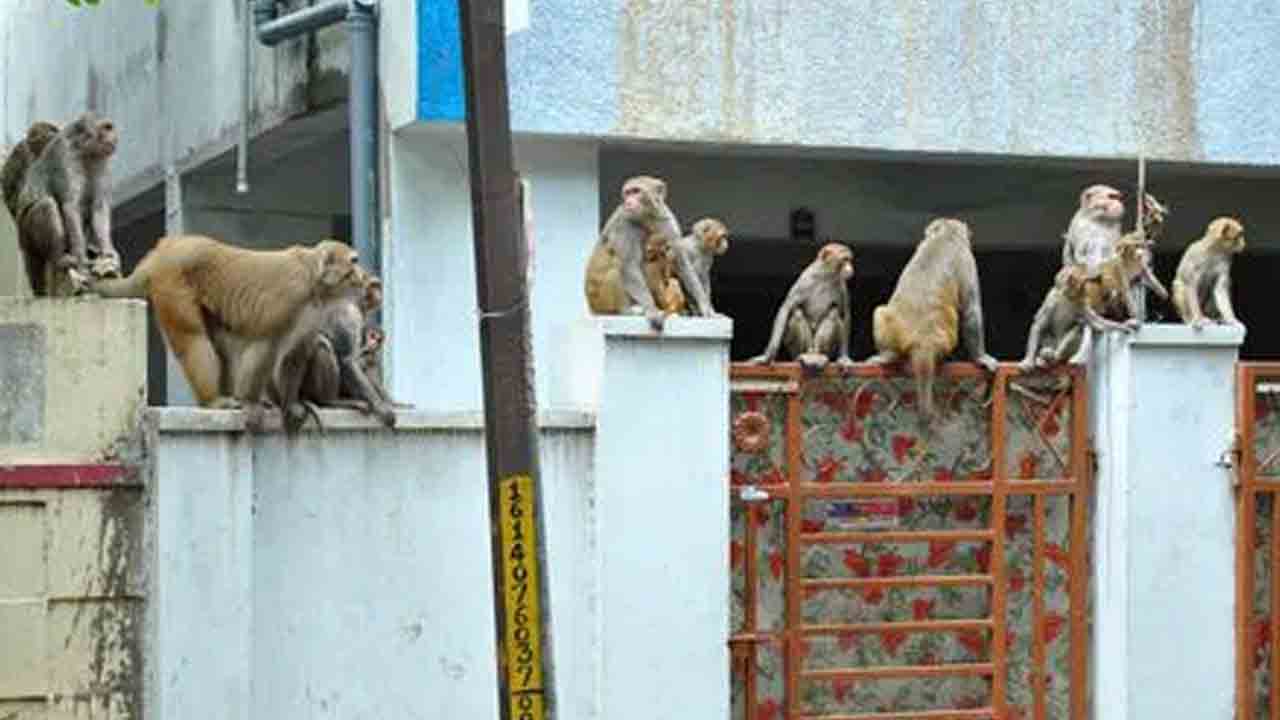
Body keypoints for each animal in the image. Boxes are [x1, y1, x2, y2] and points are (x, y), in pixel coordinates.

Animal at [12, 112, 121, 296]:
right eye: (107, 128)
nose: (115, 138)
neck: (84, 150)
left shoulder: (101, 160)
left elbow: (98, 207)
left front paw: (108, 254)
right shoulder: (65, 156)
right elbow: (70, 206)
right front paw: (81, 260)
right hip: (27, 236)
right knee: (47, 205)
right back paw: (60, 258)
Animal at [88, 235, 362, 430]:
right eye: (354, 262)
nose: (362, 276)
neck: (313, 279)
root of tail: (160, 253)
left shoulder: (312, 312)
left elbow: (296, 353)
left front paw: (290, 404)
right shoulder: (291, 298)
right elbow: (265, 344)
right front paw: (251, 402)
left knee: (220, 344)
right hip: (171, 282)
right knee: (194, 339)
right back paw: (213, 401)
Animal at [584, 175, 682, 329]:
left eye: (636, 191)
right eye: (627, 193)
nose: (628, 202)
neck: (646, 217)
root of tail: (592, 308)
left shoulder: (666, 218)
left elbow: (679, 260)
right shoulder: (624, 222)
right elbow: (628, 266)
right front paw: (652, 310)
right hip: (599, 300)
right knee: (616, 270)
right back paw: (625, 310)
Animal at [747, 242, 854, 372]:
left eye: (849, 260)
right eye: (844, 260)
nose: (850, 267)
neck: (825, 275)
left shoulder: (841, 285)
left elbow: (845, 314)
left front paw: (844, 357)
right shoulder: (805, 280)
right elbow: (786, 308)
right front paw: (768, 356)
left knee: (833, 314)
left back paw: (818, 354)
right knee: (797, 313)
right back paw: (805, 354)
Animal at [866, 218, 997, 418]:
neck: (944, 235)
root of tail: (923, 341)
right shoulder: (966, 258)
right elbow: (971, 310)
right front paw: (980, 357)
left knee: (880, 312)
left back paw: (887, 356)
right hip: (947, 340)